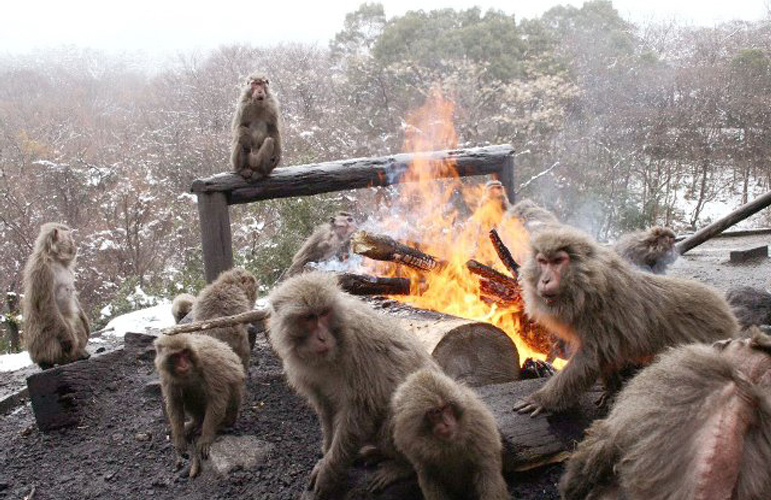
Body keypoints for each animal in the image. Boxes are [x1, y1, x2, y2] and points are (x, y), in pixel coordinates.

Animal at [21, 222, 90, 369]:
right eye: (69, 237)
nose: (75, 245)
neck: (55, 259)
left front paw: (87, 327)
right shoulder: (43, 271)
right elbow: (46, 303)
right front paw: (68, 341)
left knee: (75, 320)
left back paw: (79, 353)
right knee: (58, 324)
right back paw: (53, 360)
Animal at [154, 333, 246, 478]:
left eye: (185, 353)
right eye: (176, 356)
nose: (184, 364)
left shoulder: (209, 363)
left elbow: (217, 398)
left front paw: (206, 438)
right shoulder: (166, 375)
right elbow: (174, 402)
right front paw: (179, 438)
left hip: (233, 404)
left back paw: (222, 425)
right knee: (185, 390)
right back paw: (196, 423)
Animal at [268, 272, 437, 498]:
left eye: (324, 313)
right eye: (309, 318)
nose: (322, 338)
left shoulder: (358, 348)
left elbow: (361, 411)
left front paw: (329, 471)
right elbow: (327, 408)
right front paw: (326, 457)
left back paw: (402, 466)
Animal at [391, 368, 509, 500]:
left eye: (447, 408)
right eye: (436, 412)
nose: (447, 423)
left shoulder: (479, 425)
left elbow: (487, 470)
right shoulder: (411, 440)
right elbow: (429, 476)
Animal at [513, 225, 739, 416]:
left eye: (558, 261)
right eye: (543, 262)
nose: (545, 280)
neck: (586, 285)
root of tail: (728, 313)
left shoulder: (600, 314)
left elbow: (589, 359)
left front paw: (542, 400)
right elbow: (606, 356)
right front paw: (612, 389)